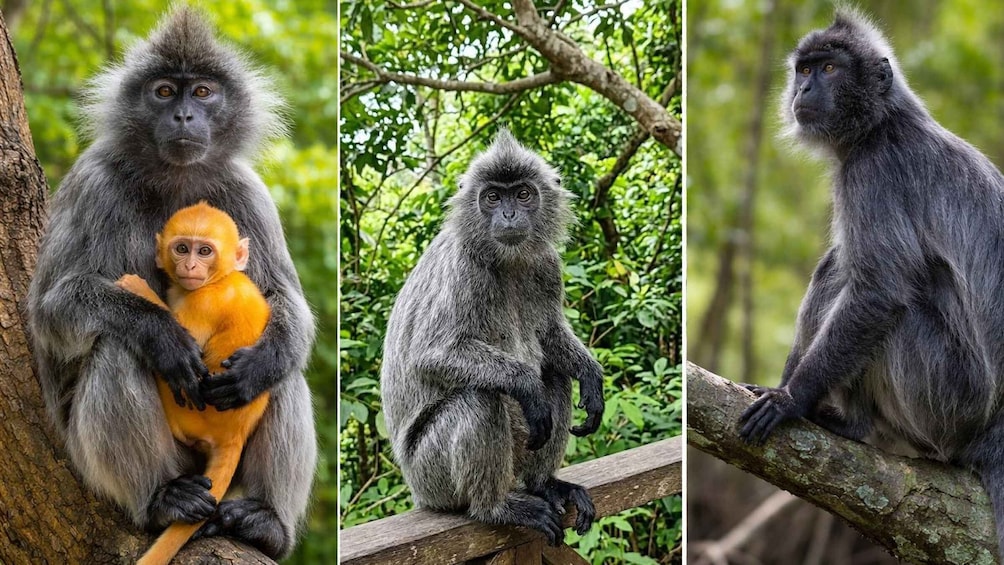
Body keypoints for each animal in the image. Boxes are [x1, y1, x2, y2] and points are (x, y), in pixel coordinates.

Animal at [114, 202, 270, 565]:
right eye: (182, 248)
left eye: (205, 251)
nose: (190, 266)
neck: (222, 277)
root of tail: (235, 434)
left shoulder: (204, 303)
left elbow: (189, 352)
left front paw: (138, 288)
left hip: (185, 416)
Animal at [380, 130, 605, 546]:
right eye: (494, 197)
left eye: (523, 194)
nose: (510, 216)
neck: (508, 260)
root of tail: (419, 493)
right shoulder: (463, 267)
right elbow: (430, 353)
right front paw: (528, 387)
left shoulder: (547, 265)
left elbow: (549, 332)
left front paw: (591, 376)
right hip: (431, 474)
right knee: (482, 397)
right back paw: (495, 507)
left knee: (555, 374)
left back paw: (544, 484)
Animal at [736, 9, 1004, 558]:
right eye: (805, 69)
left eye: (830, 69)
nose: (804, 89)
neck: (884, 124)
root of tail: (989, 429)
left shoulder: (874, 170)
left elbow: (880, 290)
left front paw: (792, 400)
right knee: (837, 264)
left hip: (943, 395)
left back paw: (849, 423)